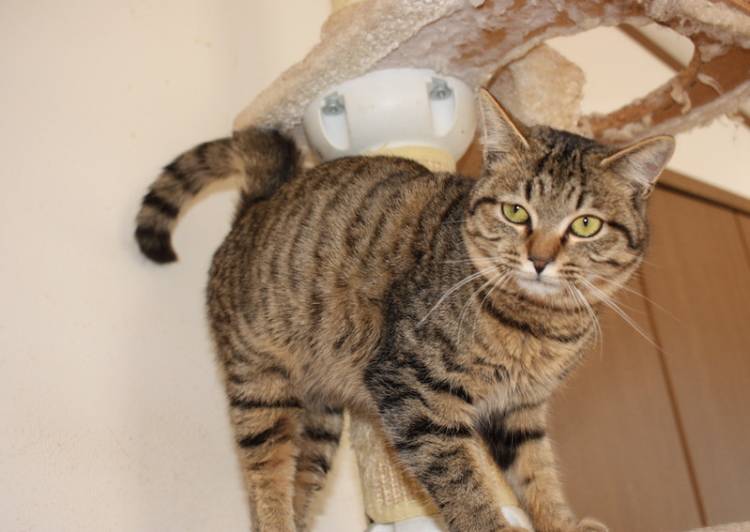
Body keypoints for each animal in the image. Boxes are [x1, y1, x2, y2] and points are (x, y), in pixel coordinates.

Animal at [135, 89, 674, 532]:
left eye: (585, 225)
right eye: (516, 212)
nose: (539, 260)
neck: (540, 325)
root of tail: (257, 204)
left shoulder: (519, 411)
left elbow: (538, 475)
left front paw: (561, 524)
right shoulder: (413, 389)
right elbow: (462, 483)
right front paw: (493, 524)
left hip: (322, 420)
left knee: (300, 483)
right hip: (261, 387)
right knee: (267, 480)